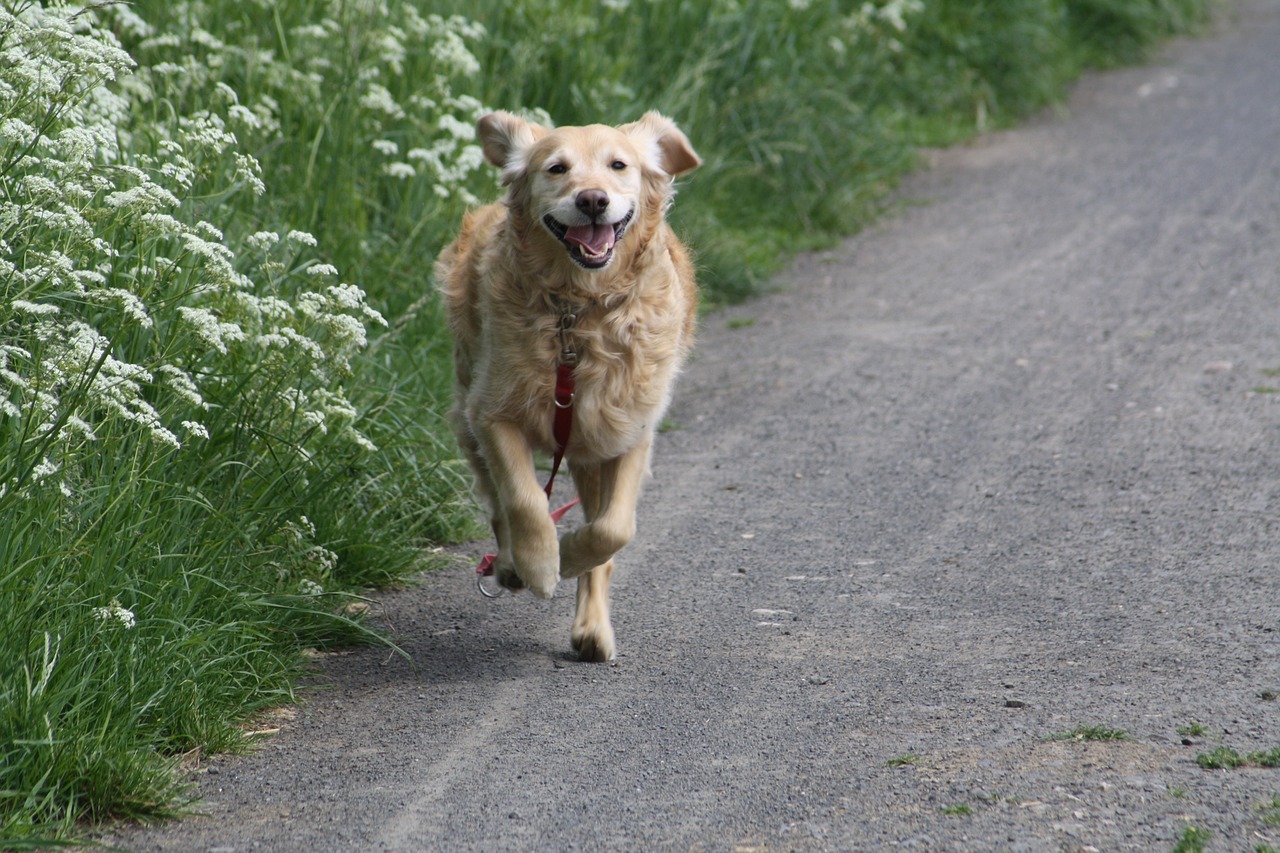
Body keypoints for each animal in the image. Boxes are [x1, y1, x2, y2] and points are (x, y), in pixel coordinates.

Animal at [437, 111, 701, 655]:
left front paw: (574, 553)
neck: (578, 311)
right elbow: (523, 499)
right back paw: (510, 565)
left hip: (587, 447)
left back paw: (591, 629)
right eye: (556, 168)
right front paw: (540, 564)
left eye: (618, 165)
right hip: (467, 413)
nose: (592, 199)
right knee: (498, 504)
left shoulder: (628, 429)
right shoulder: (491, 414)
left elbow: (612, 530)